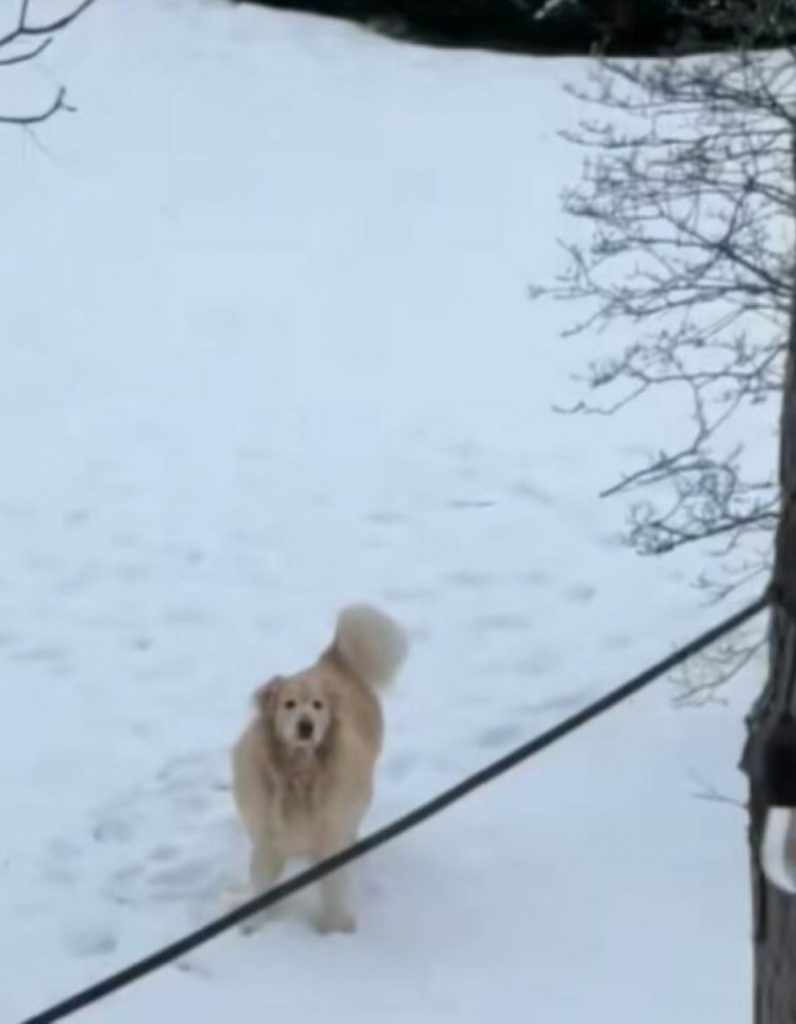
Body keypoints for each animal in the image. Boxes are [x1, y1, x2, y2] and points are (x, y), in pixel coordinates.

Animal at [231, 606, 407, 937]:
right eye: (288, 704)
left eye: (317, 705)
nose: (306, 726)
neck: (299, 773)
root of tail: (332, 657)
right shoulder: (267, 840)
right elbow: (261, 885)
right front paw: (253, 927)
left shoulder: (332, 836)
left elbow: (335, 888)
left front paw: (334, 931)